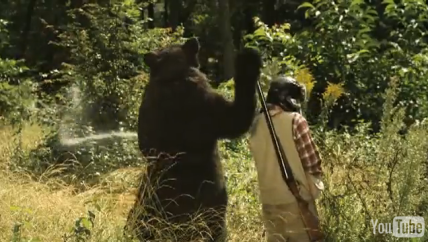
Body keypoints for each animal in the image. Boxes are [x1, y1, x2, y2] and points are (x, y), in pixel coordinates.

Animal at [125, 37, 262, 240]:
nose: (196, 40)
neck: (174, 78)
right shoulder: (204, 101)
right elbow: (235, 119)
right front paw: (248, 62)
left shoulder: (151, 105)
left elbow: (147, 141)